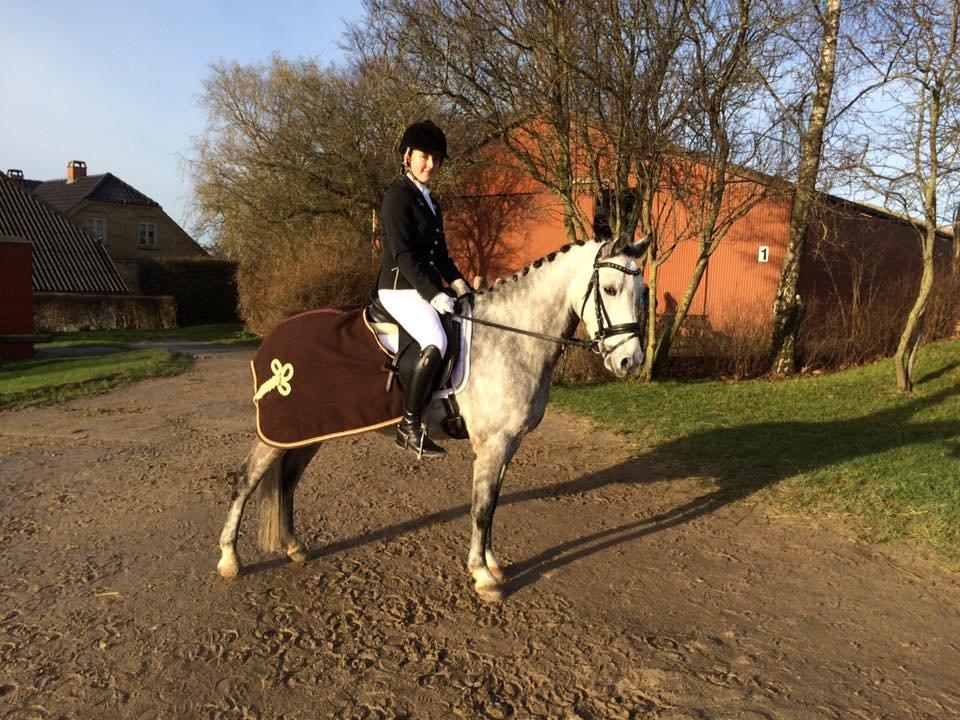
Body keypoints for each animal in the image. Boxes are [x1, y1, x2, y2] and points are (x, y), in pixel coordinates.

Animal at [217, 232, 650, 602]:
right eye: (610, 289)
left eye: (643, 292)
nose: (630, 362)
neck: (511, 337)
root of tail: (274, 336)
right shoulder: (493, 444)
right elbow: (481, 508)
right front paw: (483, 577)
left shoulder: (508, 443)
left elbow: (491, 505)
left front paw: (492, 563)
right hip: (276, 434)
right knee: (246, 481)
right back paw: (229, 560)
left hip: (305, 434)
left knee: (287, 482)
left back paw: (293, 547)